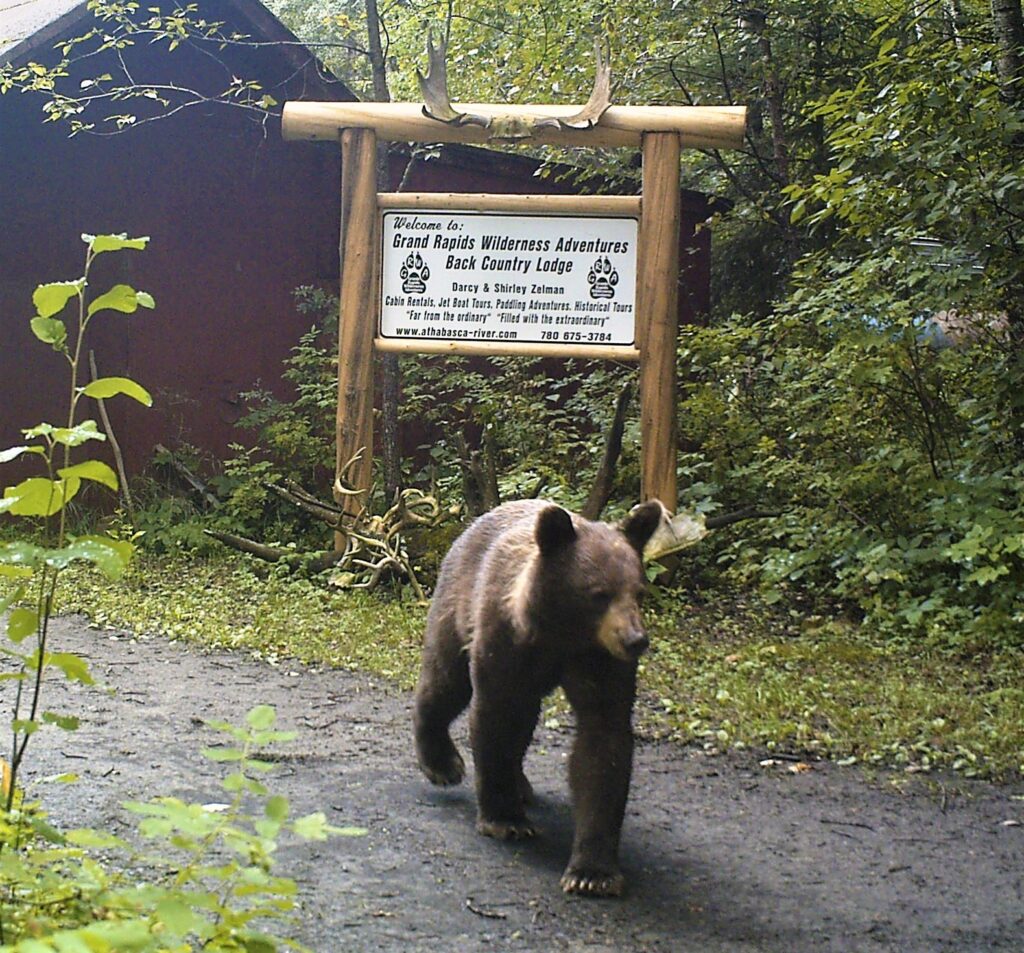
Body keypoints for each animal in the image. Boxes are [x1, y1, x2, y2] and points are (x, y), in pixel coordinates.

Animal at [413, 503, 663, 896]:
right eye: (599, 593)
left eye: (638, 591)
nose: (635, 640)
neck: (561, 635)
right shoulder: (505, 644)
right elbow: (495, 720)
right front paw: (505, 820)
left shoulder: (599, 663)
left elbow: (602, 744)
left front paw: (592, 873)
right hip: (458, 605)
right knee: (445, 682)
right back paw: (442, 764)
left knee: (523, 721)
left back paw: (521, 786)